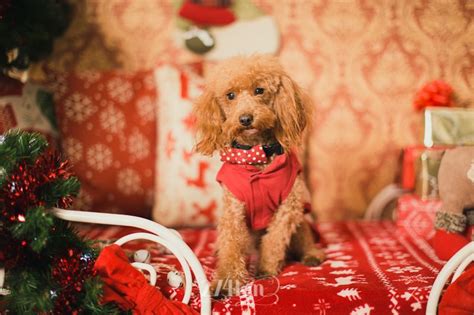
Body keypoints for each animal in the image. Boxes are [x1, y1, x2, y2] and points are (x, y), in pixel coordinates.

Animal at [193, 55, 326, 296]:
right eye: (230, 95)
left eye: (259, 90)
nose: (245, 118)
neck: (256, 157)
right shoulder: (234, 211)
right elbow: (231, 246)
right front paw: (226, 281)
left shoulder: (288, 208)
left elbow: (274, 240)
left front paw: (265, 269)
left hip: (302, 220)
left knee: (304, 238)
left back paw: (311, 254)